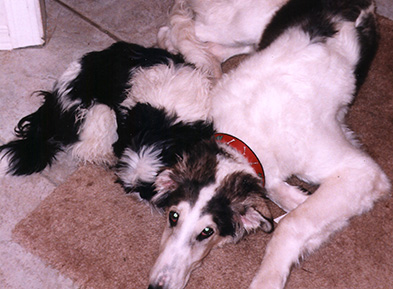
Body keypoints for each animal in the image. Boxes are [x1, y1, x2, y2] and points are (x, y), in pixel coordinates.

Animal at [1, 0, 390, 288]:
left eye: (207, 232)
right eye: (172, 216)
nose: (157, 284)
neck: (244, 136)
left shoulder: (361, 171)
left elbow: (292, 221)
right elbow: (287, 203)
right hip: (237, 24)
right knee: (178, 27)